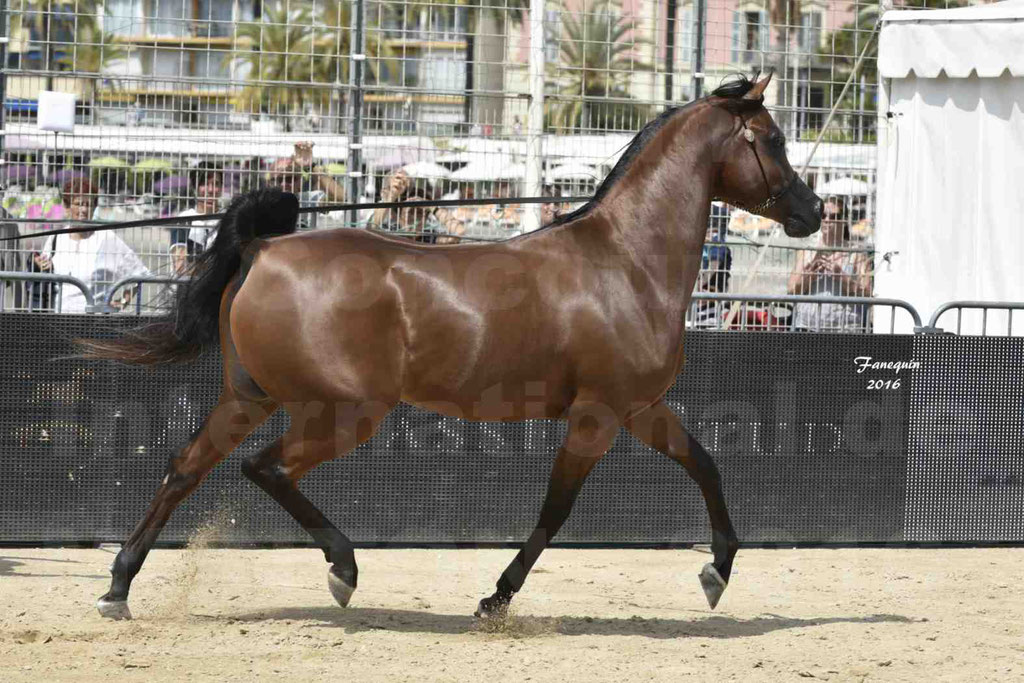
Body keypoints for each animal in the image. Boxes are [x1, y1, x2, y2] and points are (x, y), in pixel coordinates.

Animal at [81, 73, 823, 618]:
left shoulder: (639, 409)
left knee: (185, 468)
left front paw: (716, 572)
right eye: (774, 138)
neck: (626, 261)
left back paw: (118, 587)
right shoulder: (598, 416)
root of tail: (263, 248)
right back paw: (343, 568)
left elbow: (707, 466)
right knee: (265, 469)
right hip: (341, 412)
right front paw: (496, 597)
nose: (812, 213)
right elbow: (556, 510)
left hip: (250, 397)